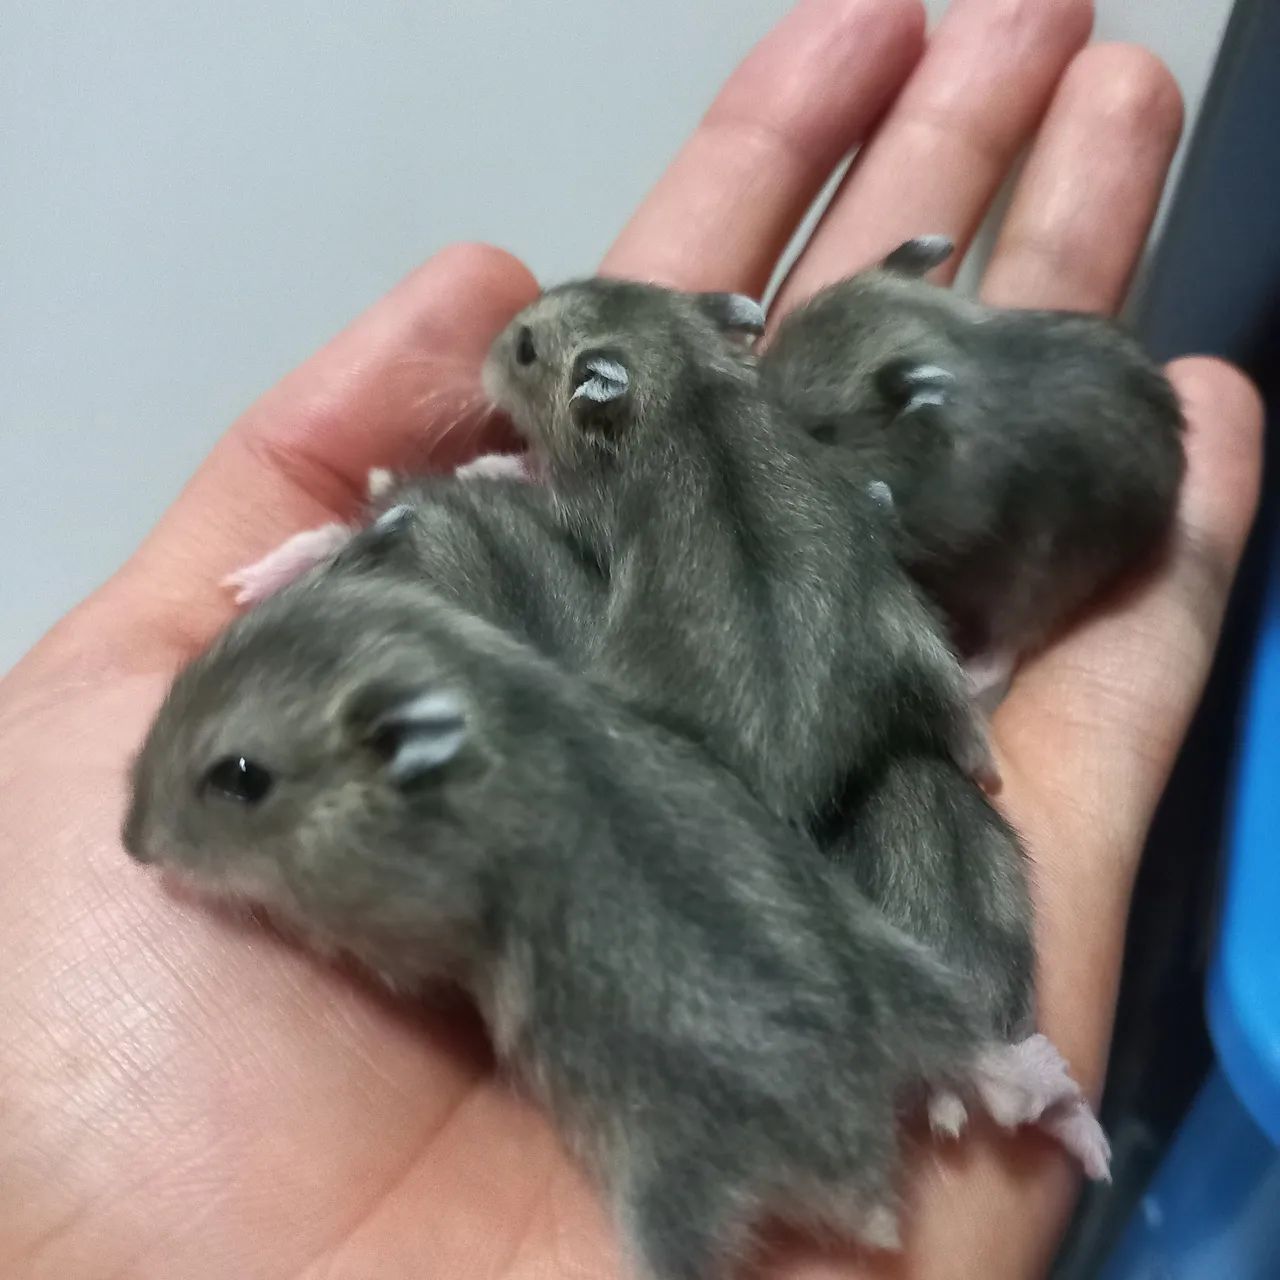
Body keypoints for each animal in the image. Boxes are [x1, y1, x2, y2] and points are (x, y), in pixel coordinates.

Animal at [123, 542, 1109, 1279]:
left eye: (238, 778)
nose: (132, 842)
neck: (492, 703)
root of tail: (861, 1168)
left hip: (665, 1189)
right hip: (897, 977)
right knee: (1000, 1066)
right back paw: (1078, 1127)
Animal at [482, 278, 994, 826]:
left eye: (525, 350)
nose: (484, 362)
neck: (685, 373)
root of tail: (789, 772)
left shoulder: (574, 503)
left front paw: (485, 464)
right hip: (913, 634)